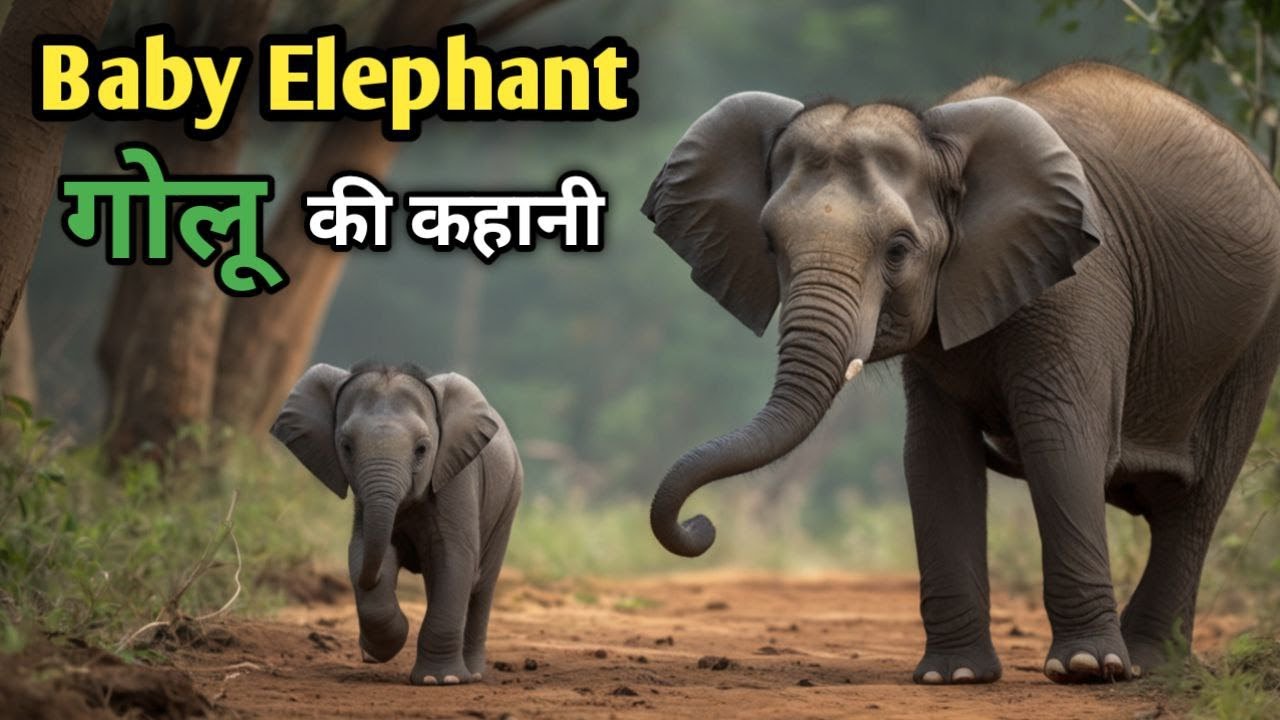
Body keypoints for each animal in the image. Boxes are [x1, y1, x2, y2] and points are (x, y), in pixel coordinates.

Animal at [271, 361, 522, 686]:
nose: (364, 650)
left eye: (422, 449)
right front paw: (382, 647)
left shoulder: (457, 479)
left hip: (508, 502)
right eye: (346, 447)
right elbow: (363, 549)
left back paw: (473, 674)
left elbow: (453, 558)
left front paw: (439, 681)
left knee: (482, 586)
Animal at [641, 62, 1280, 685]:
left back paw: (1148, 663)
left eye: (898, 250)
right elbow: (935, 456)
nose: (702, 526)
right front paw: (954, 676)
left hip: (1254, 338)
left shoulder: (1083, 282)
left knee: (1192, 502)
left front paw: (1085, 669)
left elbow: (1062, 443)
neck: (940, 146)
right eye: (771, 245)